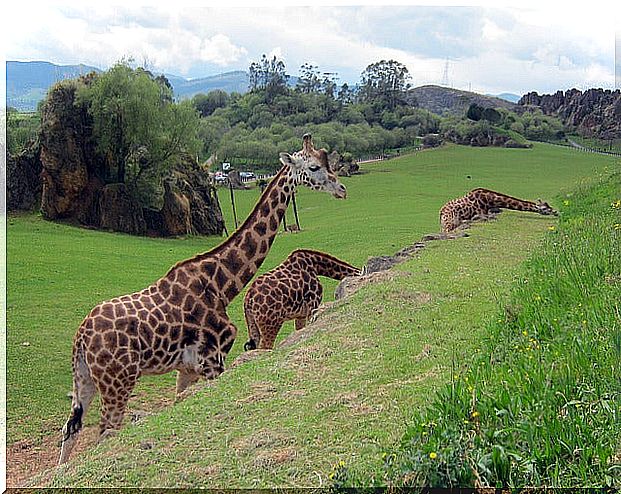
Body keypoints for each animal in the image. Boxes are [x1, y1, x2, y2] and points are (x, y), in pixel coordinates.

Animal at [59, 133, 348, 466]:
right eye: (314, 167)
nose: (341, 189)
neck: (221, 285)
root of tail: (81, 338)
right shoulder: (213, 360)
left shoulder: (188, 368)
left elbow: (180, 402)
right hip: (118, 381)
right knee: (105, 432)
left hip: (85, 379)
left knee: (70, 429)